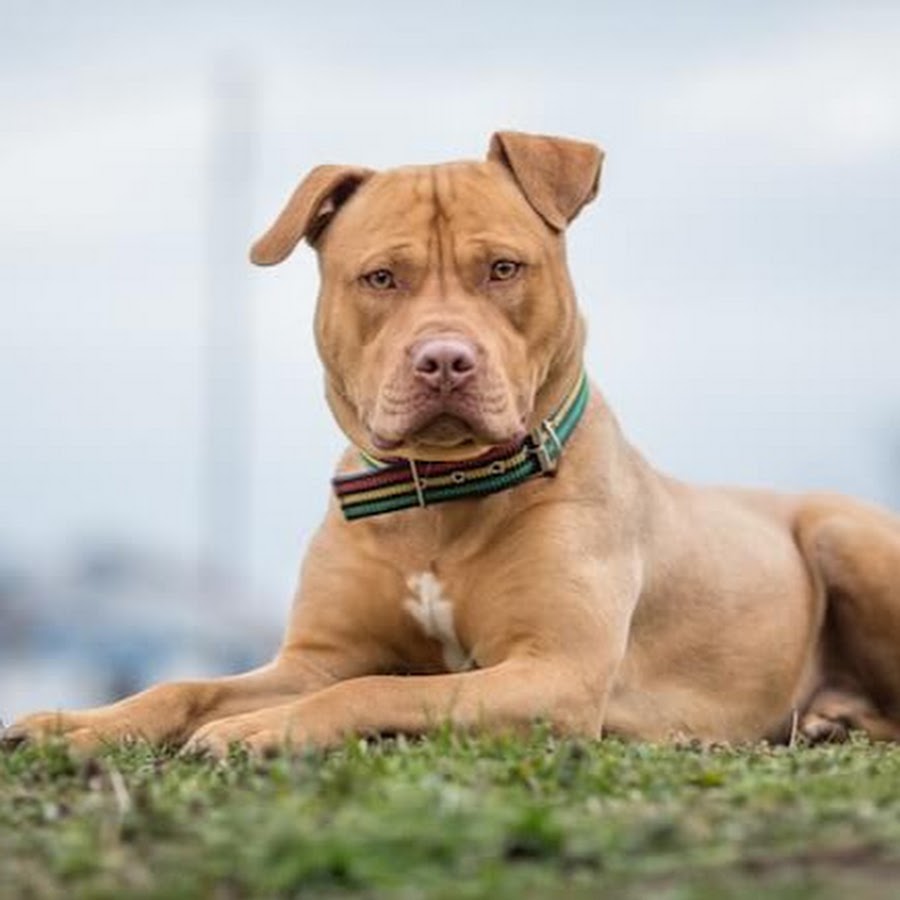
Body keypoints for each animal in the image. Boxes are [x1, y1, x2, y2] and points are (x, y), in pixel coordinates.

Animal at [6, 131, 900, 756]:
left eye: (504, 268)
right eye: (380, 278)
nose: (444, 359)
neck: (438, 494)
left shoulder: (552, 672)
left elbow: (377, 692)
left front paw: (265, 731)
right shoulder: (313, 657)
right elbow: (187, 684)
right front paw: (76, 724)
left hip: (844, 534)